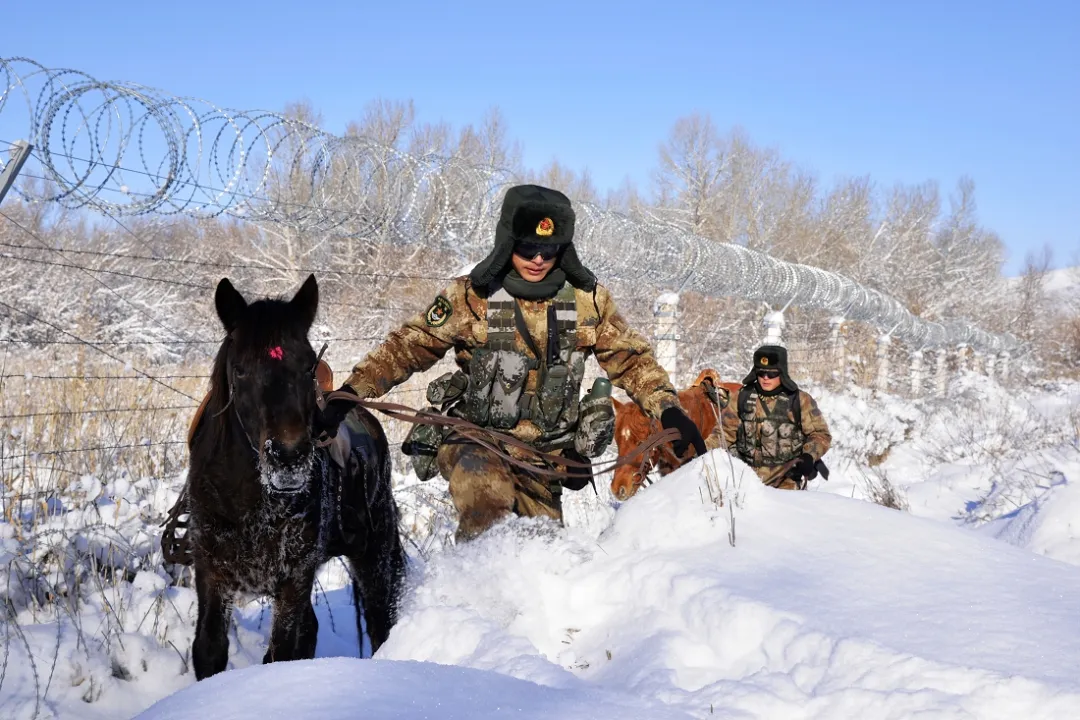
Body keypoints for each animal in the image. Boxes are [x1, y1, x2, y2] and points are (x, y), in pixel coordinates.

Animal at [185, 274, 406, 682]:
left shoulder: (294, 578)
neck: (248, 504)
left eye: (307, 367)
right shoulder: (211, 574)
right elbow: (209, 650)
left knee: (378, 621)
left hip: (373, 555)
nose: (288, 458)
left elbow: (282, 652)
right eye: (240, 369)